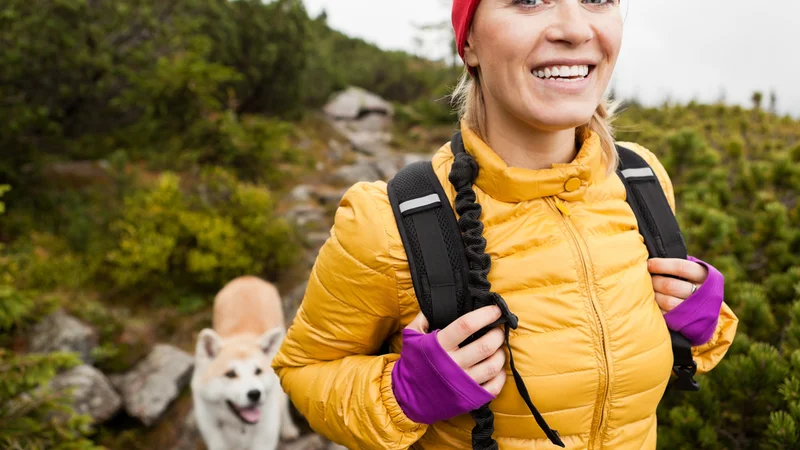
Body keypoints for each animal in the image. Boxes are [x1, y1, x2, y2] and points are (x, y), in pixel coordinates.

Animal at [191, 274, 300, 450]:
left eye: (258, 371)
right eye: (230, 374)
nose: (255, 394)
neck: (241, 427)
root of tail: (246, 278)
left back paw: (288, 429)